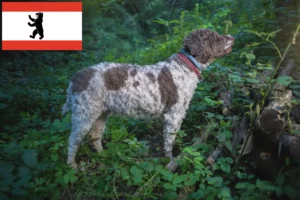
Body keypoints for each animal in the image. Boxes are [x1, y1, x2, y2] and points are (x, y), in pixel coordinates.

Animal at [62, 28, 233, 169]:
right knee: (72, 142)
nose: (232, 36)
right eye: (216, 37)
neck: (184, 66)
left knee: (95, 137)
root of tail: (75, 78)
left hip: (101, 115)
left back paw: (103, 155)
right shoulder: (173, 115)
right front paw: (170, 161)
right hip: (84, 116)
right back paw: (72, 166)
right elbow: (169, 141)